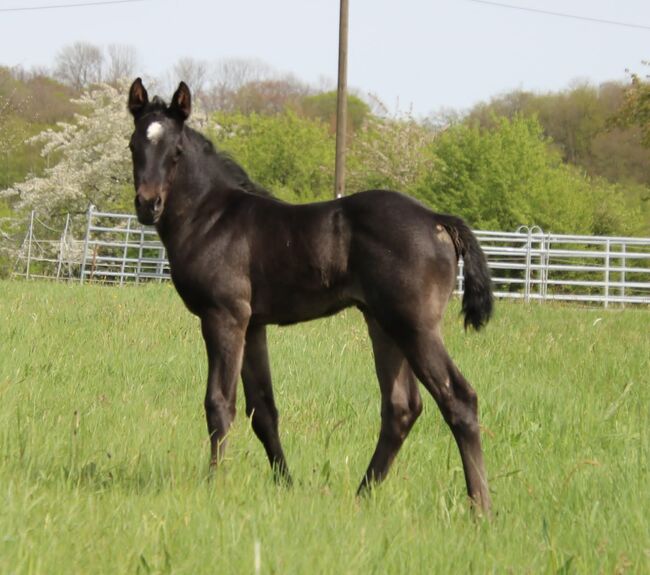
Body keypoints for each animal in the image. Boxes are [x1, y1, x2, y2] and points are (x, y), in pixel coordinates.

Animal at [125, 77, 492, 512]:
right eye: (133, 145)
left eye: (176, 151)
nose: (148, 205)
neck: (210, 217)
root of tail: (438, 220)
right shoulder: (253, 325)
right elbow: (262, 409)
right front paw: (286, 484)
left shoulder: (223, 317)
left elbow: (219, 402)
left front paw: (214, 483)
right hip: (384, 325)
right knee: (402, 407)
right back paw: (362, 495)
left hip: (416, 326)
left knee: (459, 400)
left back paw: (481, 507)